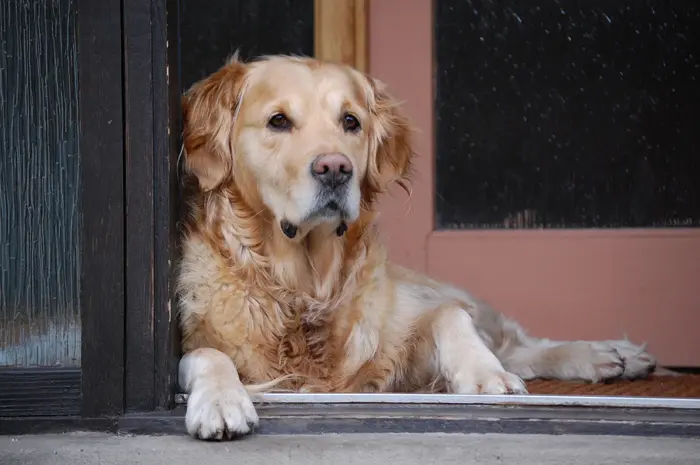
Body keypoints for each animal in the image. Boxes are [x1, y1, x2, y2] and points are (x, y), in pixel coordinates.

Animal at [175, 54, 656, 438]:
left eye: (351, 121)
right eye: (278, 121)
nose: (336, 169)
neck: (306, 289)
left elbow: (448, 317)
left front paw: (485, 374)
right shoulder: (192, 342)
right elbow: (207, 354)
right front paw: (221, 400)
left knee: (513, 339)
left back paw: (610, 355)